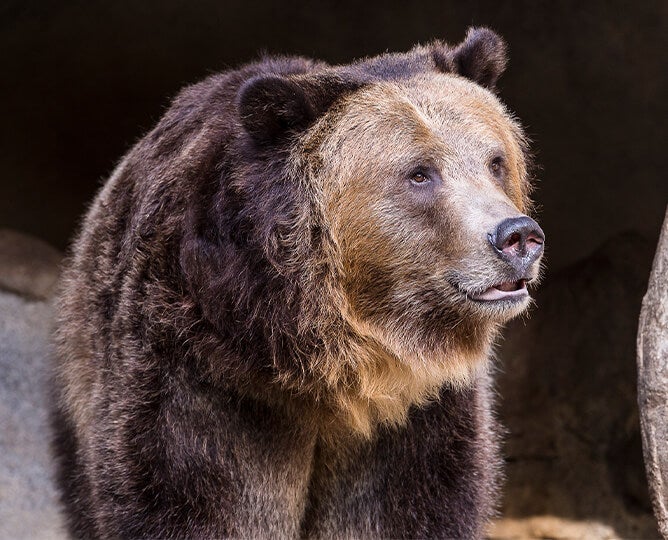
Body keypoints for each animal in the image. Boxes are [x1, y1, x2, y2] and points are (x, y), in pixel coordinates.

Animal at [52, 27, 544, 536]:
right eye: (420, 173)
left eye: (494, 161)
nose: (517, 237)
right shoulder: (201, 374)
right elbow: (195, 495)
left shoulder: (420, 411)